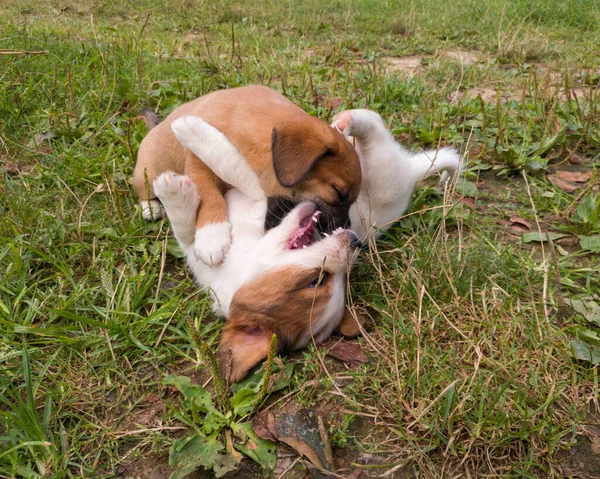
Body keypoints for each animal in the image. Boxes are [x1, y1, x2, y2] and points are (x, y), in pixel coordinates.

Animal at [135, 85, 360, 266]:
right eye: (338, 192)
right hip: (146, 174)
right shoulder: (198, 165)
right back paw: (151, 207)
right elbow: (210, 195)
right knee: (143, 191)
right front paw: (212, 236)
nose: (348, 230)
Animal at [152, 109, 462, 386]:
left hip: (385, 175)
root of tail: (411, 174)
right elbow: (193, 224)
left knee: (375, 130)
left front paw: (187, 140)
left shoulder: (258, 194)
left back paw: (349, 121)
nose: (355, 242)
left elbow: (231, 170)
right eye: (318, 280)